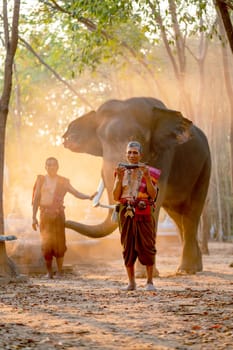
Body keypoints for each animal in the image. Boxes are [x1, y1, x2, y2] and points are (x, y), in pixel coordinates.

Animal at [62, 97, 211, 274]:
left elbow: (153, 200)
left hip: (205, 166)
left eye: (137, 136)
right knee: (176, 215)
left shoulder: (165, 154)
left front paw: (143, 273)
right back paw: (193, 266)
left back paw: (187, 270)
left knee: (192, 211)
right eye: (100, 139)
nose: (64, 221)